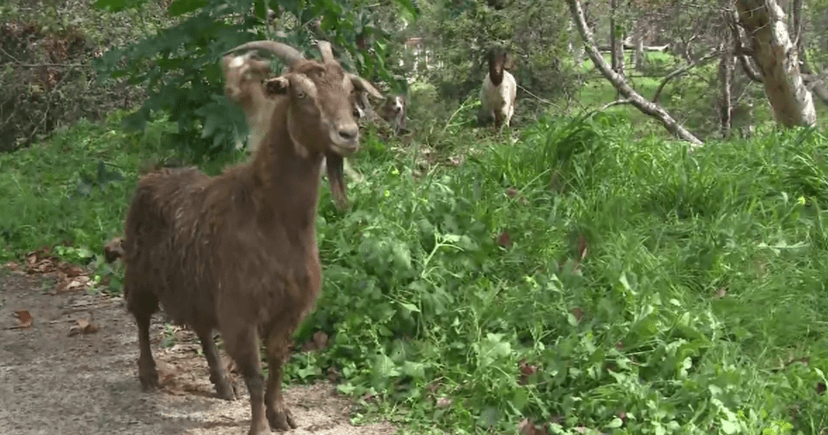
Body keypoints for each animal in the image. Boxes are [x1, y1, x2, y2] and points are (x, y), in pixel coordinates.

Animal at [110, 40, 382, 435]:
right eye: (301, 93)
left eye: (349, 92)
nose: (348, 134)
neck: (268, 217)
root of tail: (152, 176)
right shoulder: (241, 310)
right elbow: (255, 374)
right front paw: (259, 426)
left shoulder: (288, 308)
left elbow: (278, 365)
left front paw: (280, 414)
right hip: (141, 271)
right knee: (142, 318)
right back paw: (149, 374)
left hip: (197, 287)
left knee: (201, 328)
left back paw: (222, 383)